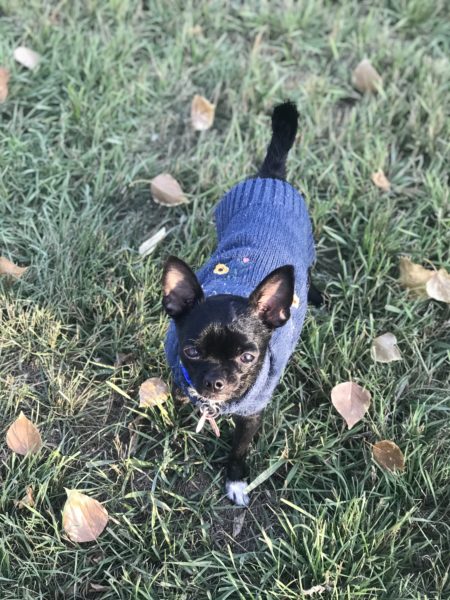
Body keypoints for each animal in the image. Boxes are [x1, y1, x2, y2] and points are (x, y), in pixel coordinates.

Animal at [162, 101, 320, 504]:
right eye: (192, 351)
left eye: (249, 358)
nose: (216, 380)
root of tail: (270, 178)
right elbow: (182, 396)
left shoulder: (252, 415)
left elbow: (239, 447)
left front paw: (235, 479)